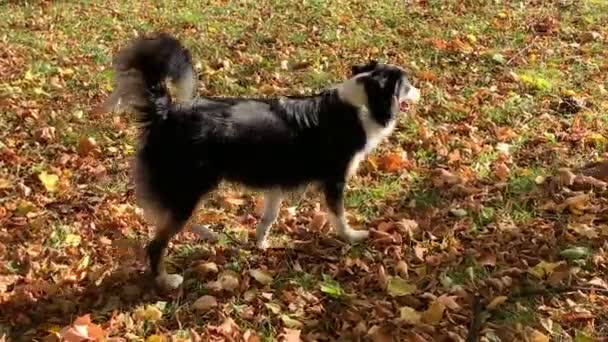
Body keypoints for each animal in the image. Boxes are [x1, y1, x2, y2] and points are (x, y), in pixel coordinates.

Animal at [102, 32, 420, 290]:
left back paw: (208, 234)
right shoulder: (335, 180)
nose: (421, 90)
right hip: (189, 188)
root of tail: (166, 113)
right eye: (406, 85)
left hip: (188, 190)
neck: (362, 103)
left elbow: (269, 217)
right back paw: (166, 280)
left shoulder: (277, 181)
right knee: (157, 242)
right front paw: (352, 236)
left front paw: (260, 242)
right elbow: (338, 216)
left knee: (168, 219)